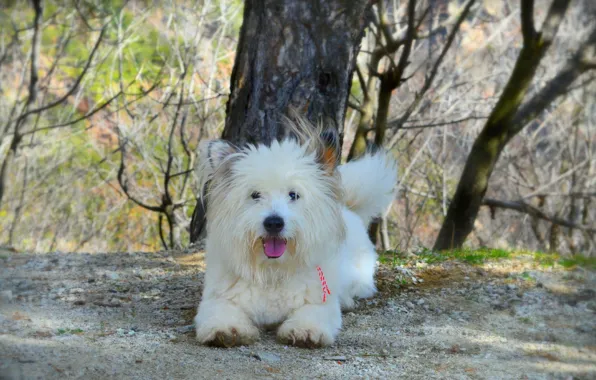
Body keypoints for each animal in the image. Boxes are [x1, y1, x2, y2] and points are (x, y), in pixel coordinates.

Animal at [194, 125, 396, 348]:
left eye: (293, 195)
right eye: (255, 195)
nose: (274, 223)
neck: (273, 270)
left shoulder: (319, 302)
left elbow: (310, 314)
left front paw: (305, 331)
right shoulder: (218, 299)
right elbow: (221, 312)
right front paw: (227, 330)